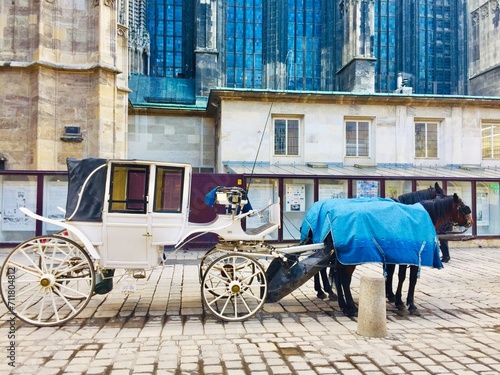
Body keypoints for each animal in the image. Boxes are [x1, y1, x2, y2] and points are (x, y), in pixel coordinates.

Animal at [300, 194, 472, 318]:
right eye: (463, 207)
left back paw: (340, 301)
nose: (470, 222)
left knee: (336, 275)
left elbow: (395, 275)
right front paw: (408, 303)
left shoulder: (399, 256)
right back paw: (348, 305)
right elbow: (409, 279)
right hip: (347, 257)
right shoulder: (412, 256)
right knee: (343, 278)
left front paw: (395, 297)